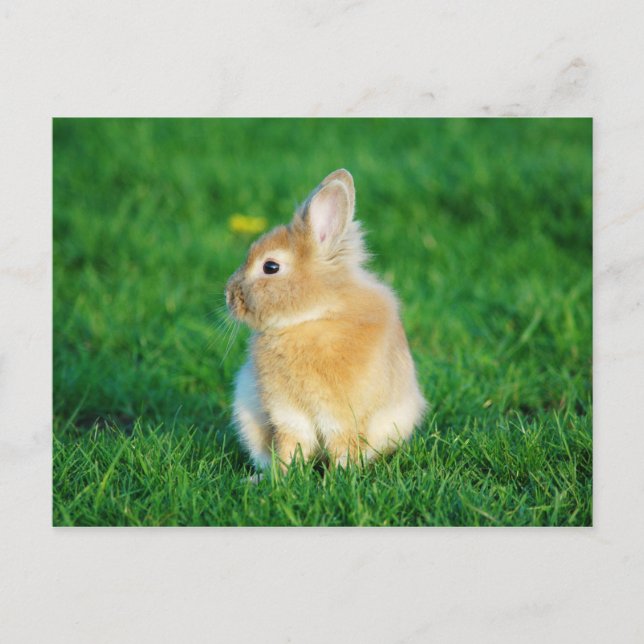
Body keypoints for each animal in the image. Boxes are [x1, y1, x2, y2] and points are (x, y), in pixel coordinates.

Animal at [225, 169, 427, 471]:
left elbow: (341, 445)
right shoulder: (287, 413)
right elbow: (291, 444)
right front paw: (281, 475)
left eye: (270, 267)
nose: (228, 295)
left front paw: (341, 475)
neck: (313, 317)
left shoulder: (341, 415)